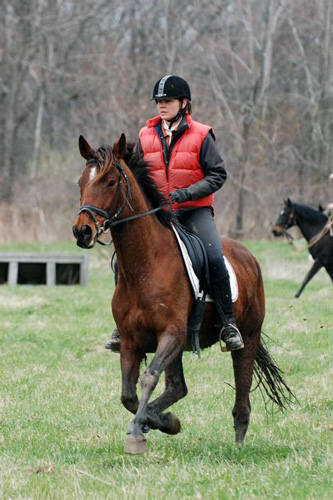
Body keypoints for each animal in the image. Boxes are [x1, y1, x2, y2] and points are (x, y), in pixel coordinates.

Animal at [72, 135, 290, 456]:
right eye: (80, 182)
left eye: (110, 182)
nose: (82, 231)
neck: (145, 265)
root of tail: (248, 256)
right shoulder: (131, 340)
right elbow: (128, 394)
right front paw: (163, 422)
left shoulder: (172, 333)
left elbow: (149, 378)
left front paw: (138, 432)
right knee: (177, 387)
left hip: (247, 336)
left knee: (242, 389)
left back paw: (238, 440)